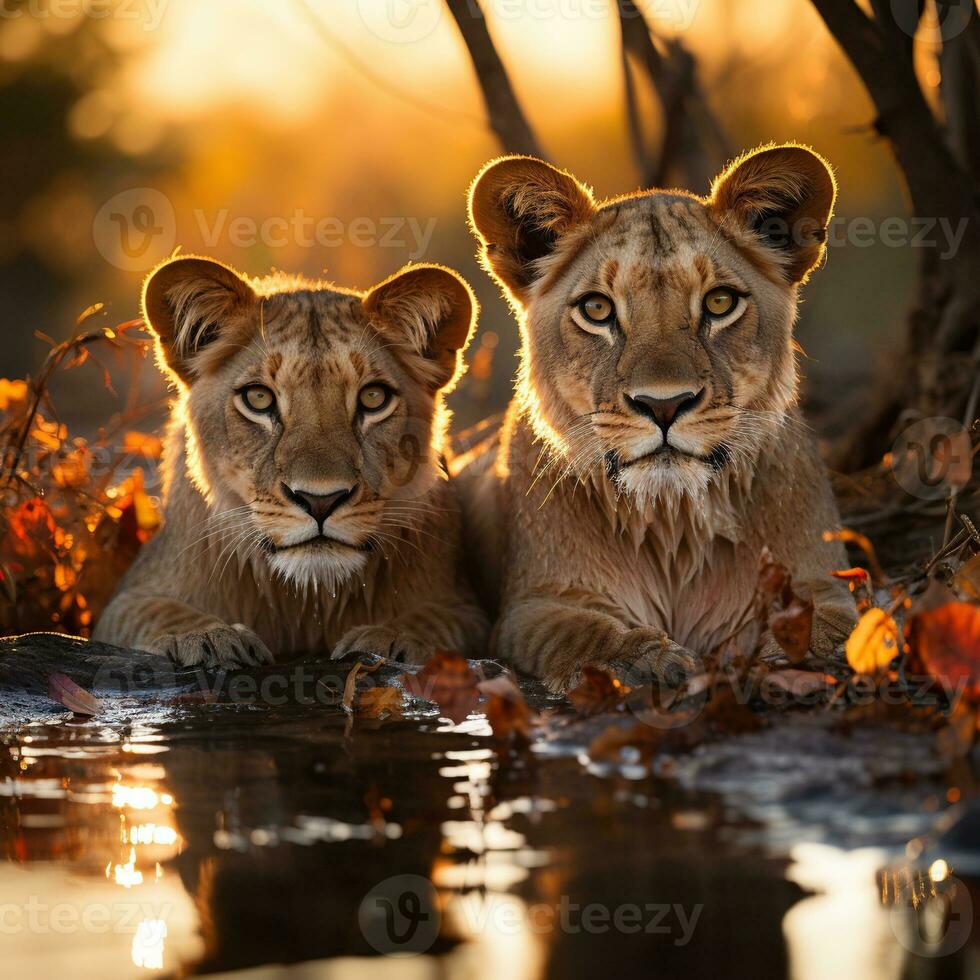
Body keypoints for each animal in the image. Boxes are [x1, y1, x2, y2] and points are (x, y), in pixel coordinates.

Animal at [94, 255, 486, 668]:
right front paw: (204, 638)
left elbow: (434, 622)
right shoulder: (129, 598)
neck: (309, 600)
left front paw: (391, 639)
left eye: (374, 398)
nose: (320, 501)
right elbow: (161, 615)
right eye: (259, 399)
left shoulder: (464, 606)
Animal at [464, 144, 852, 688]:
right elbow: (585, 635)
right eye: (597, 309)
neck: (675, 523)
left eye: (720, 302)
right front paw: (644, 662)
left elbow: (826, 626)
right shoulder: (535, 604)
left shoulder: (829, 584)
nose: (663, 405)